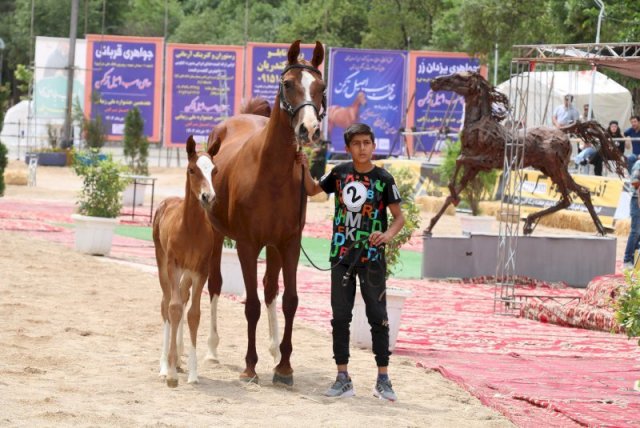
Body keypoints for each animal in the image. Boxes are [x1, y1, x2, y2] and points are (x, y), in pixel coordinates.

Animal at [153, 135, 221, 388]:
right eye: (192, 170)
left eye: (214, 170)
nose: (208, 197)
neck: (190, 227)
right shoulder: (173, 266)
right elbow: (172, 308)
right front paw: (171, 373)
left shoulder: (200, 271)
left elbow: (193, 314)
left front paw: (192, 372)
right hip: (162, 263)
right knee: (166, 304)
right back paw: (165, 364)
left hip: (187, 275)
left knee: (182, 299)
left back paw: (179, 360)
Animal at [205, 41, 324, 386]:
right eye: (288, 84)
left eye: (321, 87)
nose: (309, 129)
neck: (270, 173)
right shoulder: (247, 245)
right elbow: (252, 305)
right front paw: (250, 366)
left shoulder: (288, 243)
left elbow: (289, 300)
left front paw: (284, 366)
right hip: (215, 234)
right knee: (214, 283)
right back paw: (212, 350)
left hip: (273, 247)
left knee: (272, 289)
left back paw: (273, 351)